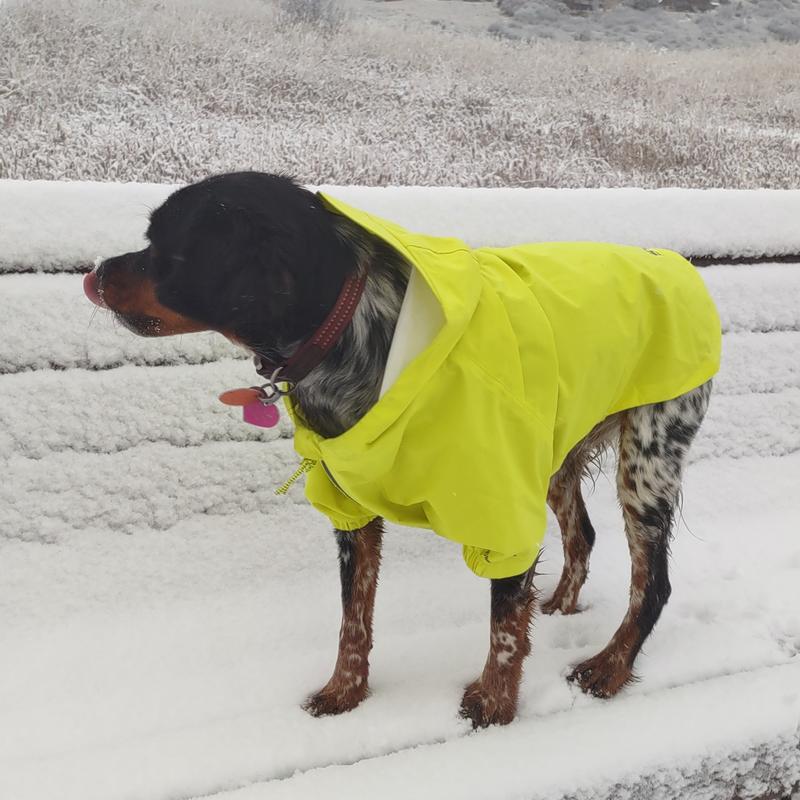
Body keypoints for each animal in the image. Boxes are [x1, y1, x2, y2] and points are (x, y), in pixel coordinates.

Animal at [86, 172, 720, 728]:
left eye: (165, 248)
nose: (94, 273)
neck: (350, 334)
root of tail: (679, 266)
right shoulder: (349, 509)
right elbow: (354, 618)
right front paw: (344, 693)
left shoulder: (500, 508)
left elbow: (504, 626)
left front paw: (494, 706)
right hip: (558, 452)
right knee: (583, 535)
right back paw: (562, 605)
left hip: (646, 462)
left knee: (653, 584)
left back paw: (608, 669)